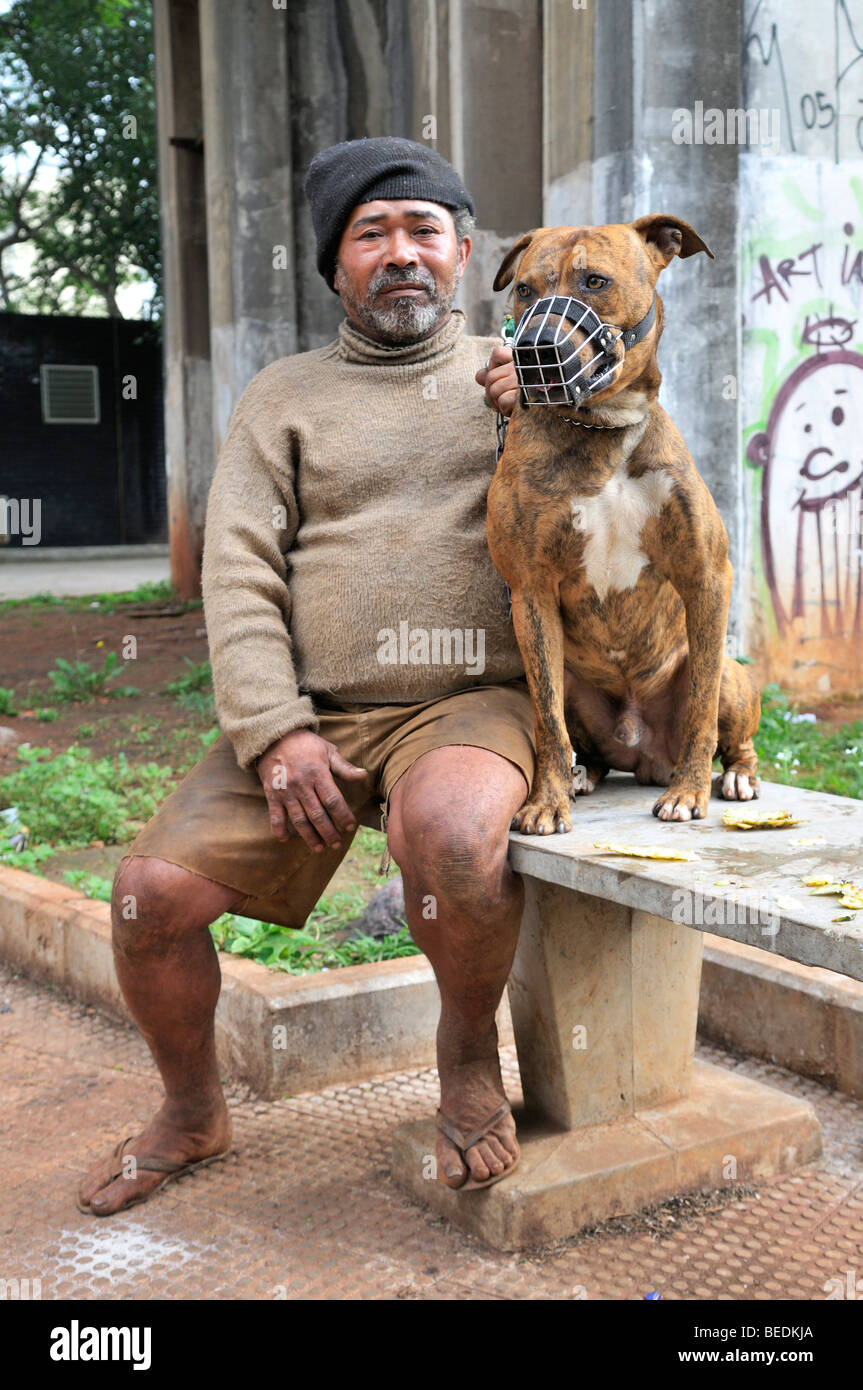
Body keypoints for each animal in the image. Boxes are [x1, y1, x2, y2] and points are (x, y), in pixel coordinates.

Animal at [489, 215, 755, 822]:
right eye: (524, 290)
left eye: (595, 281)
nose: (535, 349)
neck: (601, 428)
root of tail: (645, 755)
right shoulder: (530, 592)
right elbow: (547, 719)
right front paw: (547, 800)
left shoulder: (708, 575)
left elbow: (701, 705)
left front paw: (689, 792)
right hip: (569, 677)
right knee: (575, 735)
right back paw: (580, 775)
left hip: (734, 674)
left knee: (731, 726)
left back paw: (731, 777)